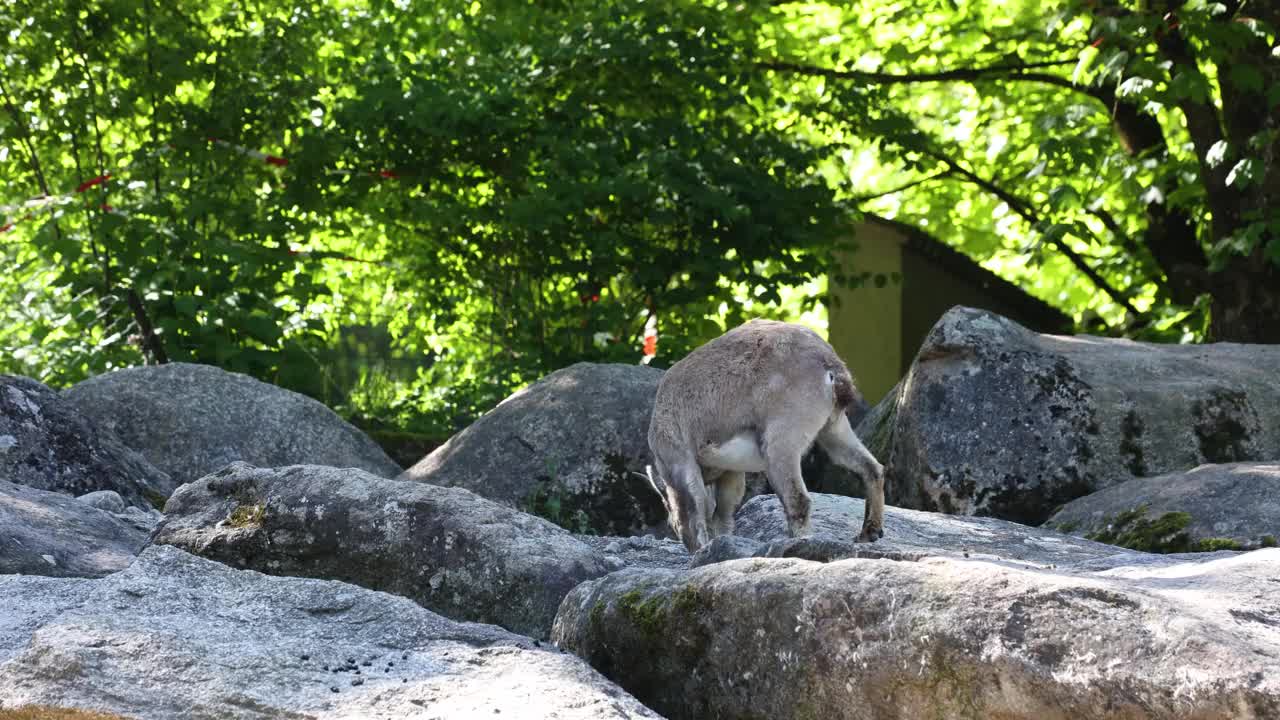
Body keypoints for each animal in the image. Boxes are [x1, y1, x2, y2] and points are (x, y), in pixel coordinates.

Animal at [645, 317, 885, 548]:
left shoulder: (681, 462)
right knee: (871, 468)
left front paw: (701, 549)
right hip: (834, 428)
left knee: (797, 499)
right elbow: (723, 514)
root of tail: (830, 364)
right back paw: (869, 531)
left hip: (782, 438)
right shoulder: (730, 471)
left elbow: (696, 513)